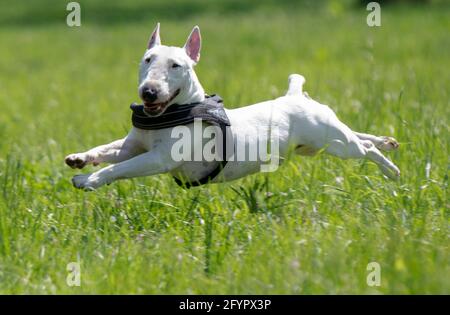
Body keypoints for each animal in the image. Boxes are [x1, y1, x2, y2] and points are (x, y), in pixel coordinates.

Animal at [65, 23, 400, 190]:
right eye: (147, 60)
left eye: (176, 65)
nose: (149, 92)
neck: (173, 112)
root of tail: (293, 96)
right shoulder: (133, 145)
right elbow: (110, 150)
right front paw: (80, 159)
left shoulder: (159, 158)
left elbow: (119, 168)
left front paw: (88, 180)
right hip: (319, 141)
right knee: (357, 134)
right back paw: (386, 141)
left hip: (335, 144)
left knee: (363, 149)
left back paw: (391, 169)